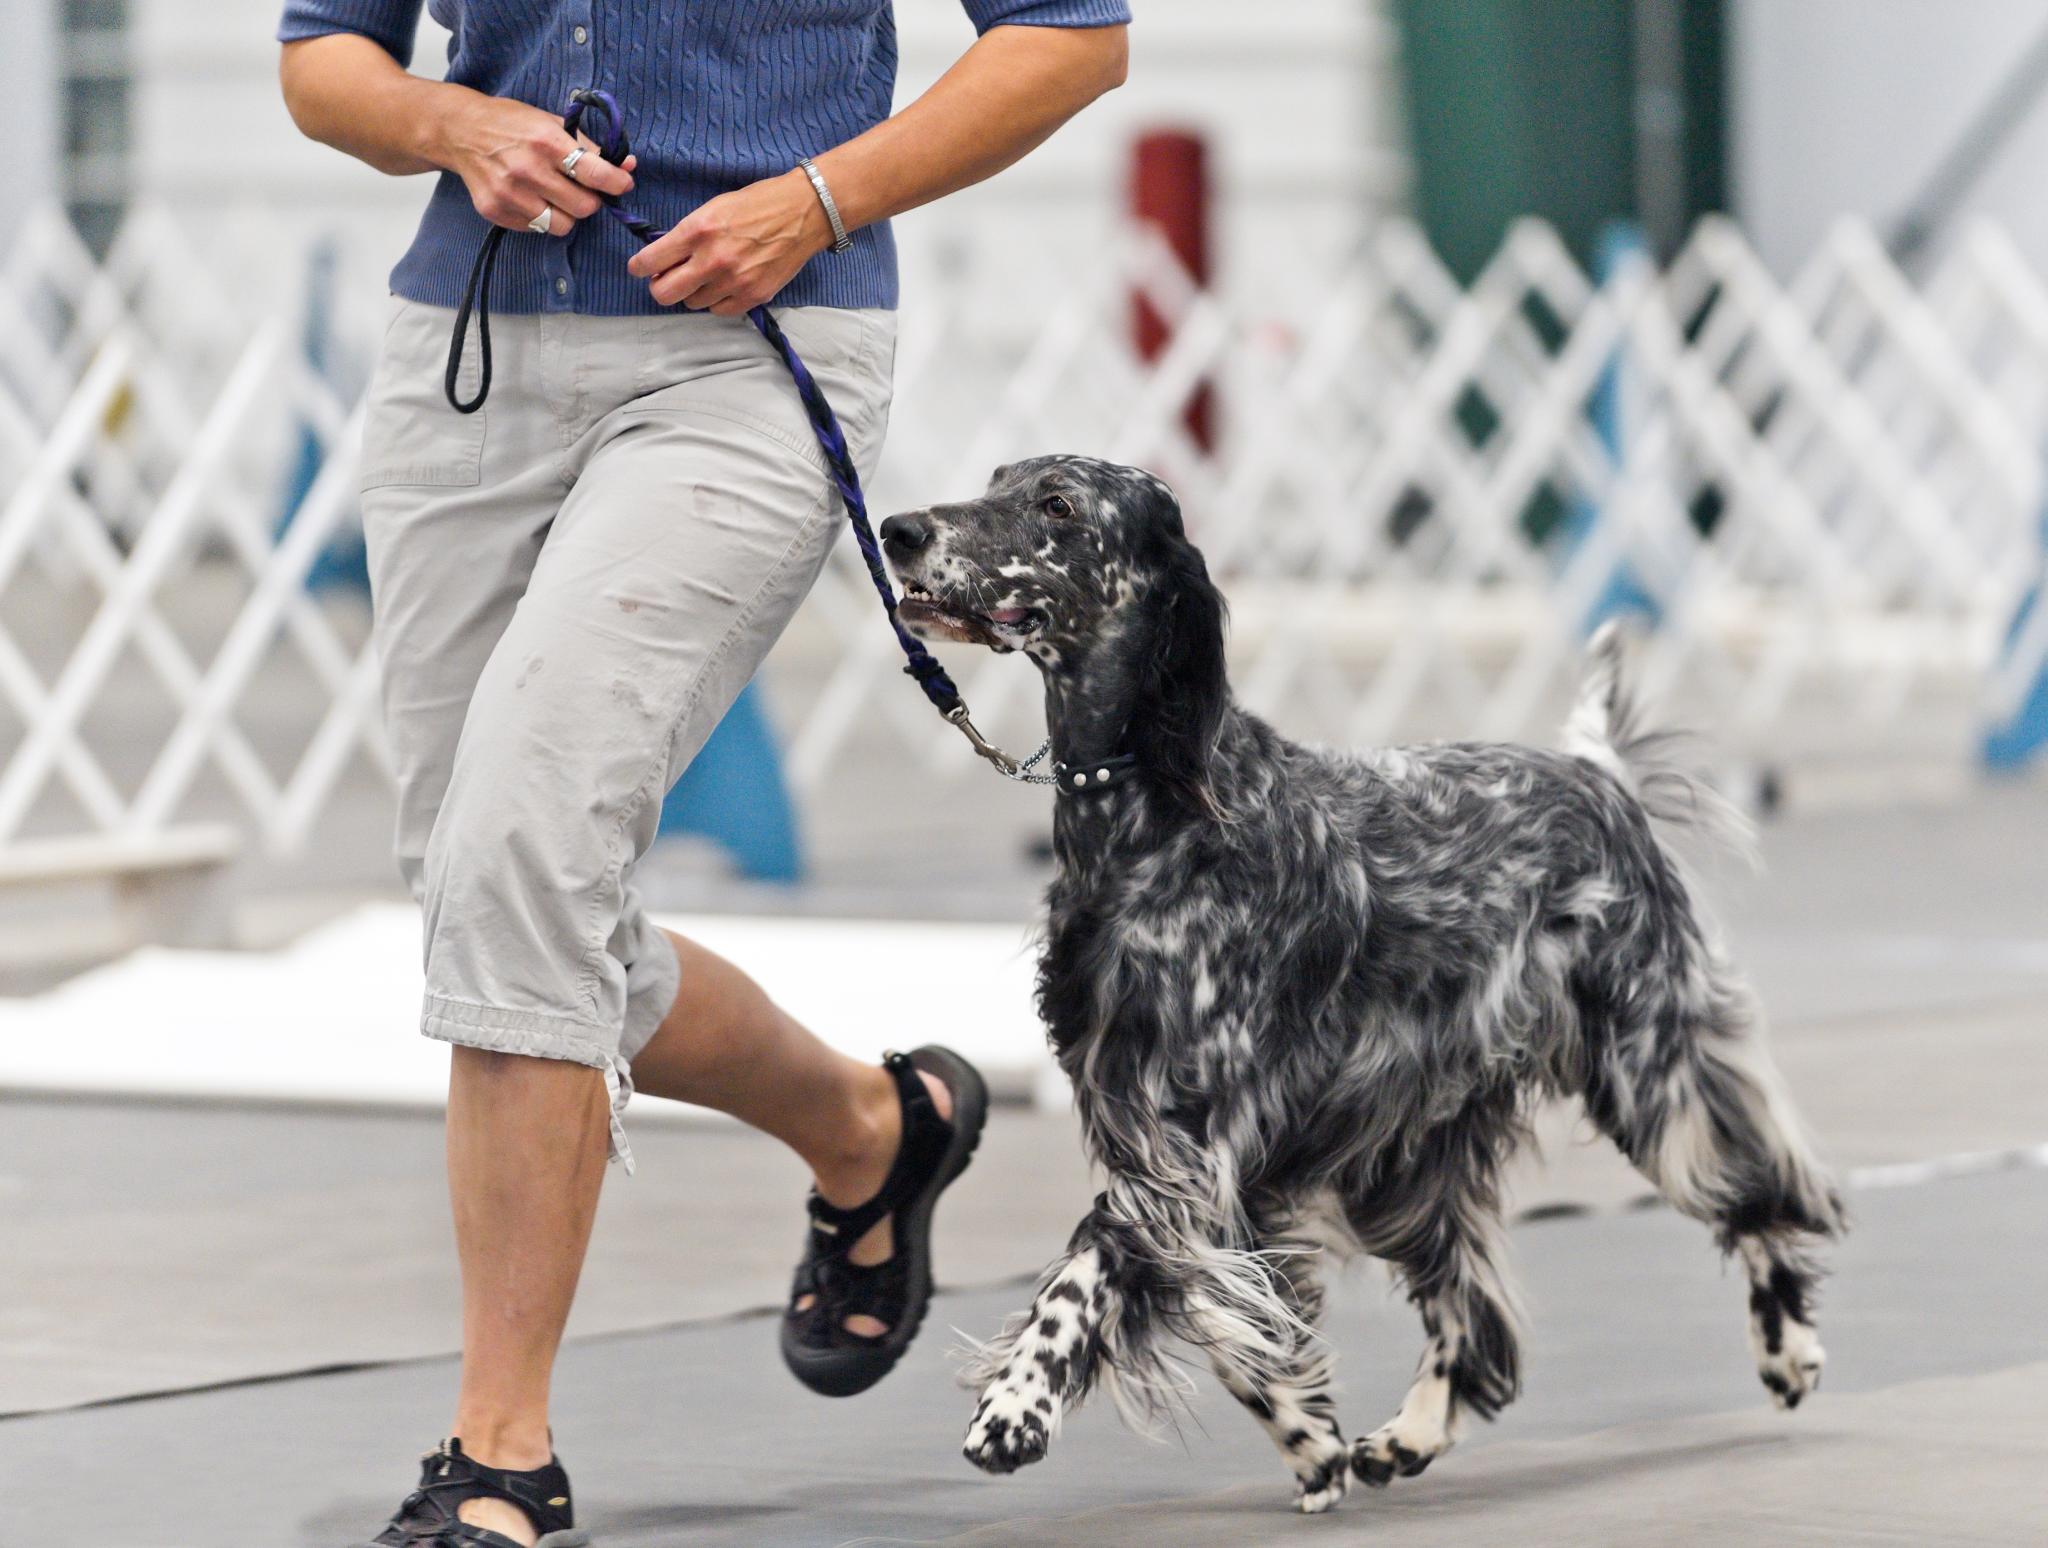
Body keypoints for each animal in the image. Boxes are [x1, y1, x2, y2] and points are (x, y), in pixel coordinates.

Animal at [876, 456, 1843, 1515]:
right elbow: (1239, 1328)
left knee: (1761, 1193)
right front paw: (1311, 1439)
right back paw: (1405, 1438)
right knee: (1475, 1319)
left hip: (1648, 1070)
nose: (897, 530)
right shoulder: (1195, 1156)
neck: (1157, 815)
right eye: (997, 478)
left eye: (1056, 504)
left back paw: (1788, 1349)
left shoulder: (1186, 1147)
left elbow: (1089, 1272)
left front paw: (1016, 1404)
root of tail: (1599, 776)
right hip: (1406, 1158)